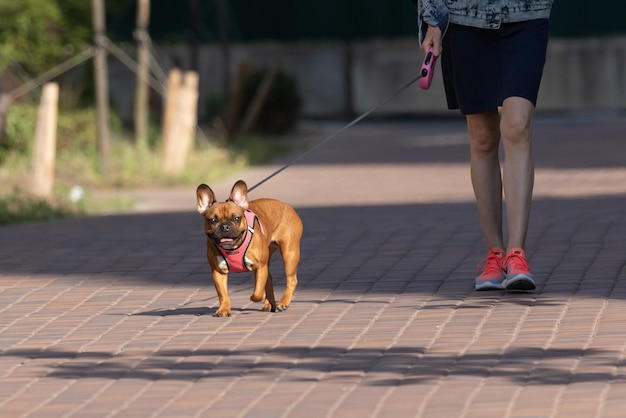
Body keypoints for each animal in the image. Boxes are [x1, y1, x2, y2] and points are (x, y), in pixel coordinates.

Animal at [195, 180, 302, 316]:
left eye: (236, 218)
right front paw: (223, 309)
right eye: (212, 220)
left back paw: (283, 302)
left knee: (291, 280)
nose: (225, 226)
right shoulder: (218, 272)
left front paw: (255, 297)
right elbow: (223, 294)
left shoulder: (260, 267)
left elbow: (257, 292)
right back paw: (269, 304)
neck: (233, 248)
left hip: (289, 254)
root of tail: (286, 205)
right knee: (269, 279)